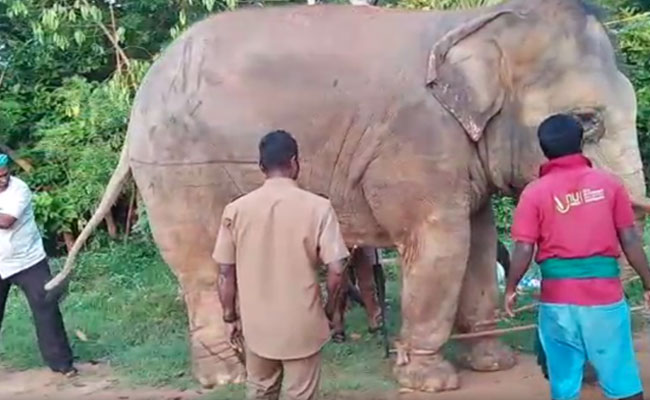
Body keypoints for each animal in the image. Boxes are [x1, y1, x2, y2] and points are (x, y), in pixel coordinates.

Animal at [46, 0, 650, 392]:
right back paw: (226, 376)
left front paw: (494, 365)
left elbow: (479, 242)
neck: (477, 24)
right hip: (177, 170)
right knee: (199, 266)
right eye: (587, 122)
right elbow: (441, 245)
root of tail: (138, 104)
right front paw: (430, 381)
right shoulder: (416, 146)